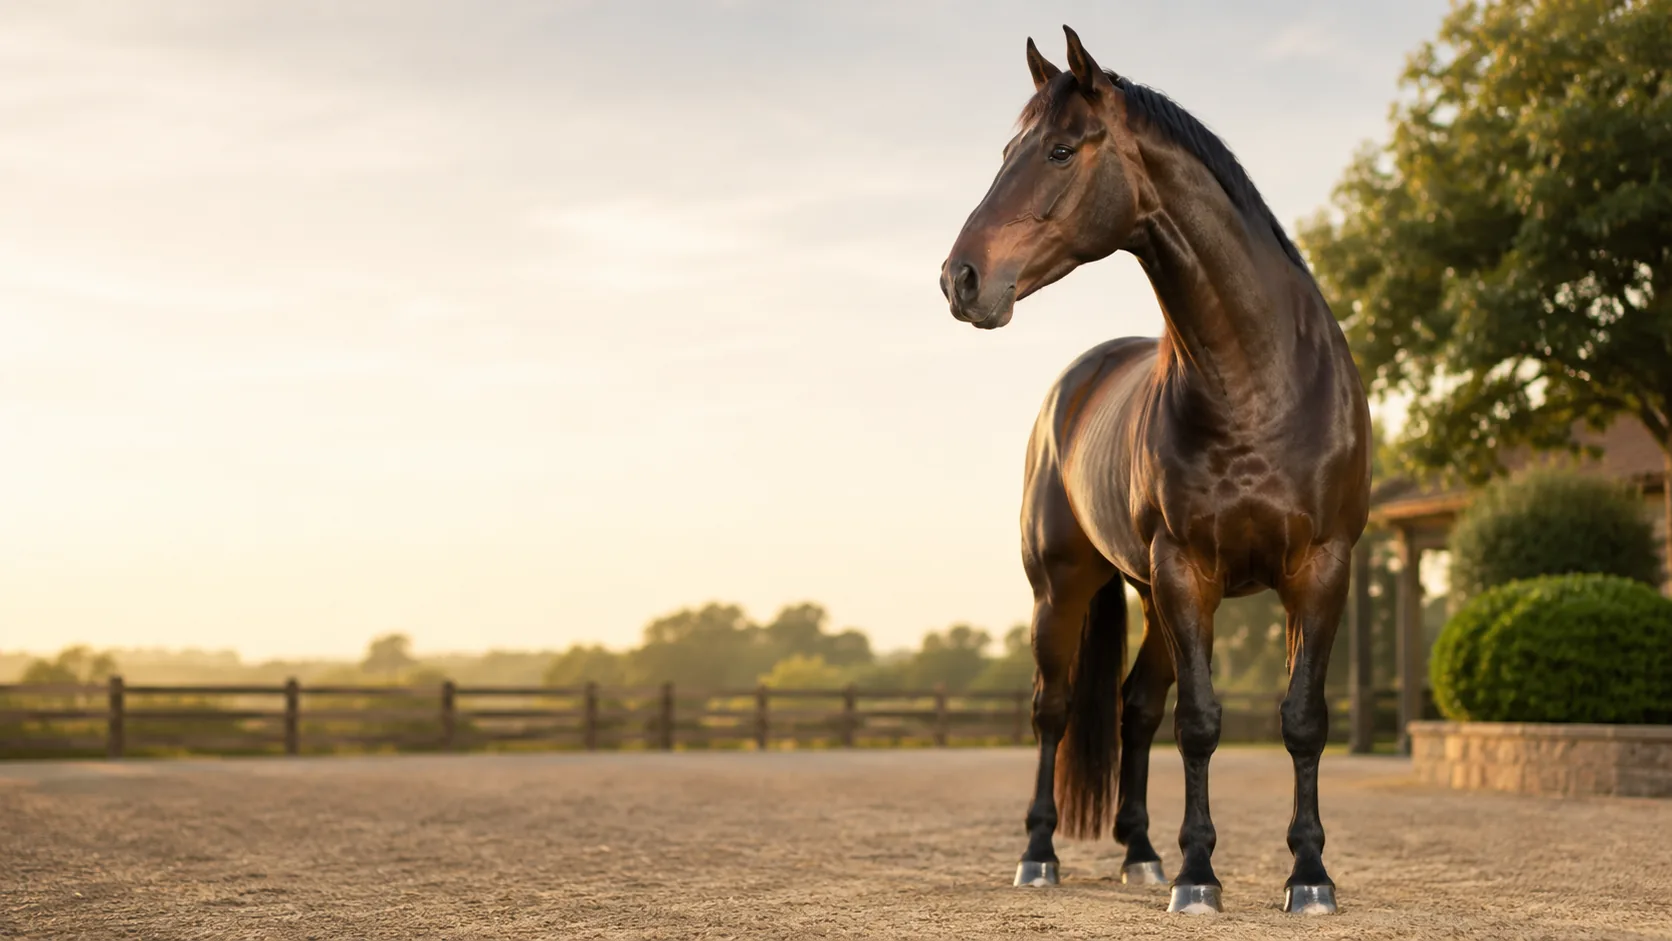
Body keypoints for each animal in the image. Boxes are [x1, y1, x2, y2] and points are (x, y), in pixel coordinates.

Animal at [938, 27, 1371, 915]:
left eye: (1061, 149)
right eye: (1007, 152)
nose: (960, 278)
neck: (1260, 386)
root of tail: (1076, 381)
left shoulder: (1321, 568)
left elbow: (1301, 717)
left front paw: (1309, 874)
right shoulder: (1185, 570)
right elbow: (1199, 722)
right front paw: (1199, 875)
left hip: (1148, 594)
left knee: (1135, 706)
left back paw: (1140, 851)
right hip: (1068, 587)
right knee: (1055, 709)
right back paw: (1041, 854)